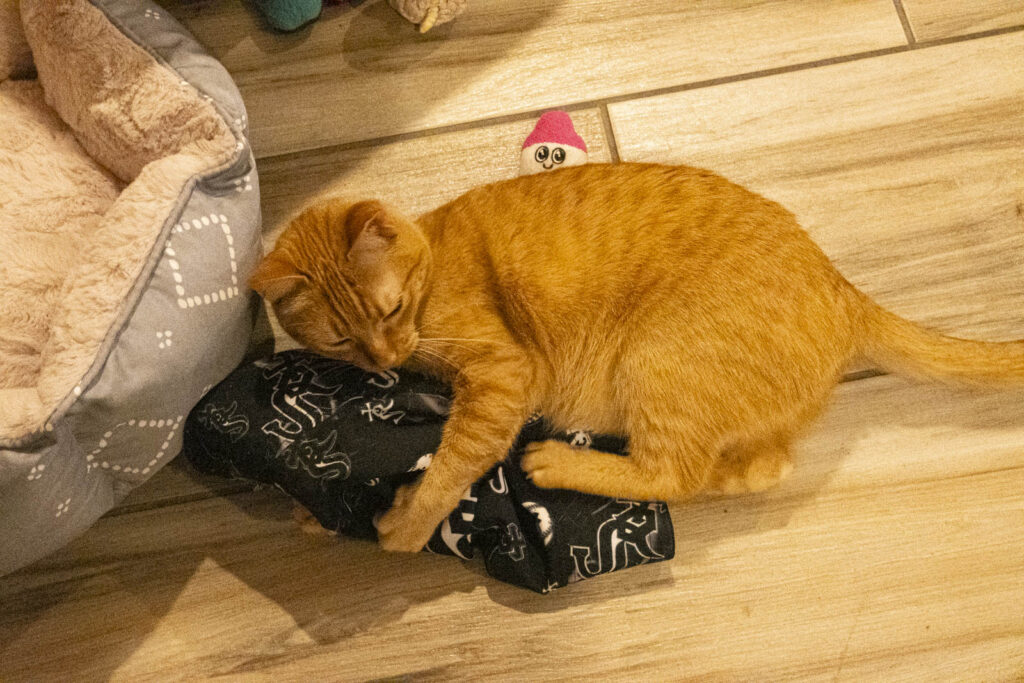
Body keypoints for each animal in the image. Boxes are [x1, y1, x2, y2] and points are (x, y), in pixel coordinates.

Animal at [251, 162, 1024, 552]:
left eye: (387, 312)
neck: (432, 266)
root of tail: (847, 291)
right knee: (748, 471)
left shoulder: (502, 379)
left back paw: (554, 461)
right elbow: (426, 460)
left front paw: (405, 529)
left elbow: (448, 466)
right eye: (341, 339)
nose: (385, 353)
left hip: (659, 360)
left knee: (672, 475)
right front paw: (332, 515)